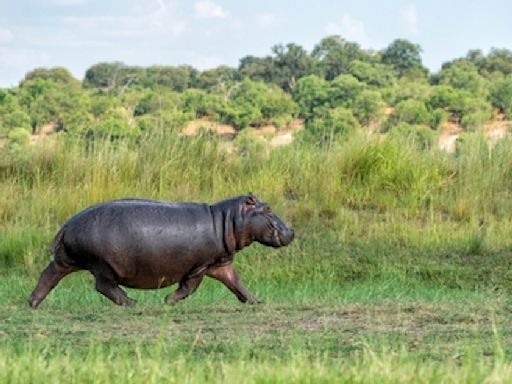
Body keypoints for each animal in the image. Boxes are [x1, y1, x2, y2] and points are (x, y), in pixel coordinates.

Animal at [29, 195, 292, 308]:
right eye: (268, 208)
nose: (292, 231)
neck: (228, 220)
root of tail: (65, 226)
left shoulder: (221, 263)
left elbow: (237, 283)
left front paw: (256, 301)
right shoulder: (200, 266)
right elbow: (189, 287)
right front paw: (168, 301)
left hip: (66, 260)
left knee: (48, 275)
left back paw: (32, 303)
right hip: (103, 265)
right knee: (104, 286)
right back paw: (132, 302)